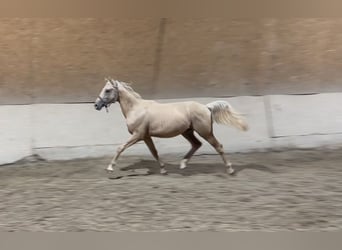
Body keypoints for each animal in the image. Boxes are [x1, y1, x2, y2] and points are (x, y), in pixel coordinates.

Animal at [94, 78, 248, 176]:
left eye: (107, 90)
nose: (96, 105)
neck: (136, 109)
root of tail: (206, 107)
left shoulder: (138, 135)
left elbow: (120, 147)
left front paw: (110, 168)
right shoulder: (146, 136)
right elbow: (154, 152)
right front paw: (163, 170)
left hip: (205, 132)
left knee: (218, 146)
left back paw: (230, 170)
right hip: (187, 132)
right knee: (196, 144)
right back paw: (183, 164)